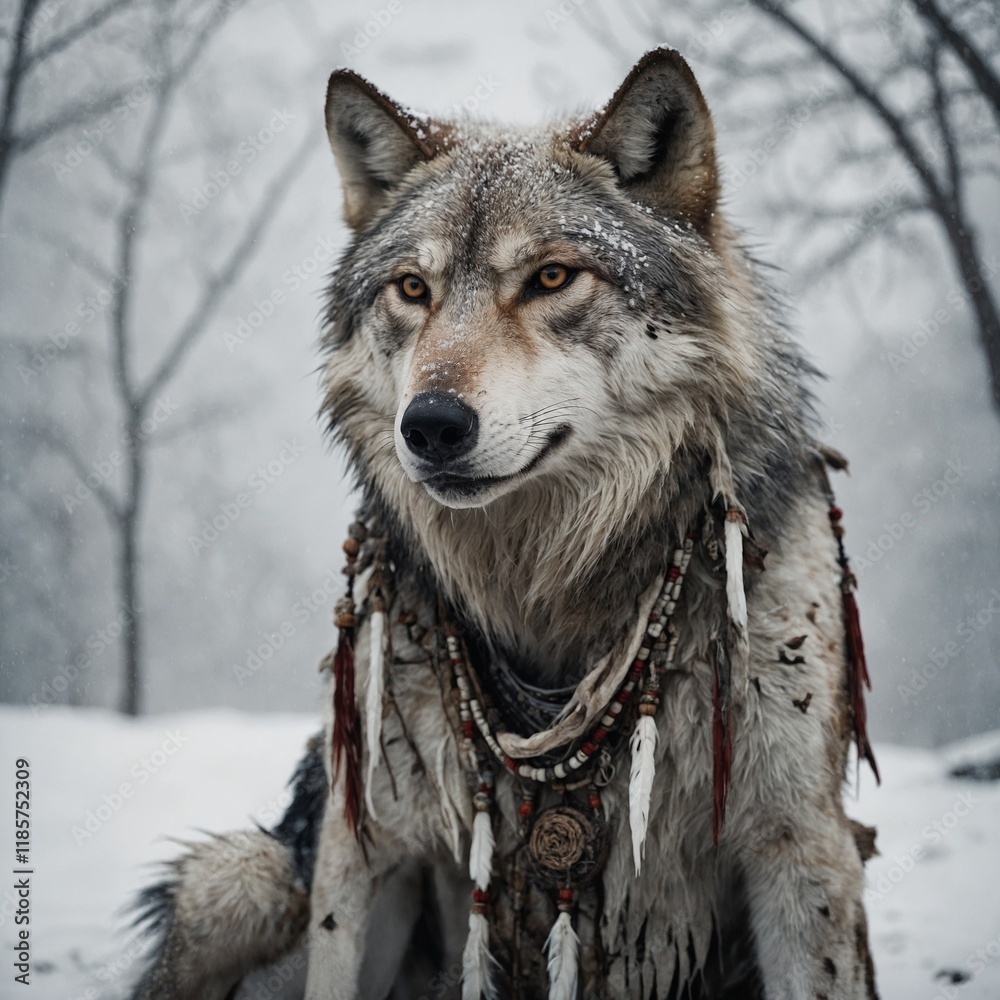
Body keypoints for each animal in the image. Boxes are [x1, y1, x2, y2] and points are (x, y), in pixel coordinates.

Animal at [130, 48, 880, 1000]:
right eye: (413, 289)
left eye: (551, 277)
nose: (430, 425)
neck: (546, 599)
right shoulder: (368, 849)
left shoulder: (798, 849)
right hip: (241, 881)